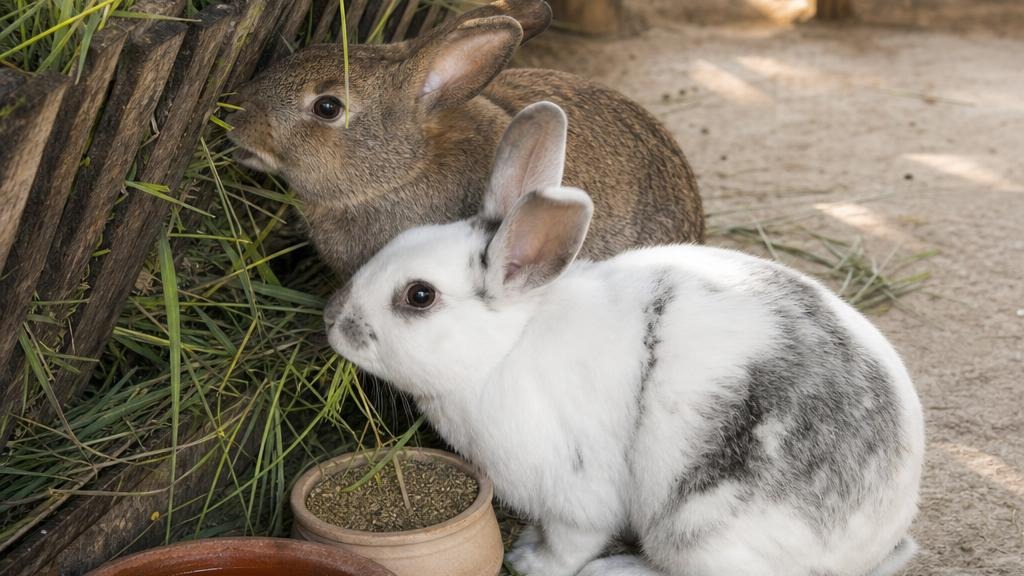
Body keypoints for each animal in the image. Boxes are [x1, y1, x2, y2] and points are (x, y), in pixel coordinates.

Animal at [321, 116, 925, 576]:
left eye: (419, 296)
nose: (331, 318)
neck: (506, 347)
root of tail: (871, 546)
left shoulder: (573, 494)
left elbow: (568, 544)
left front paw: (528, 560)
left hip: (698, 529)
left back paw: (615, 569)